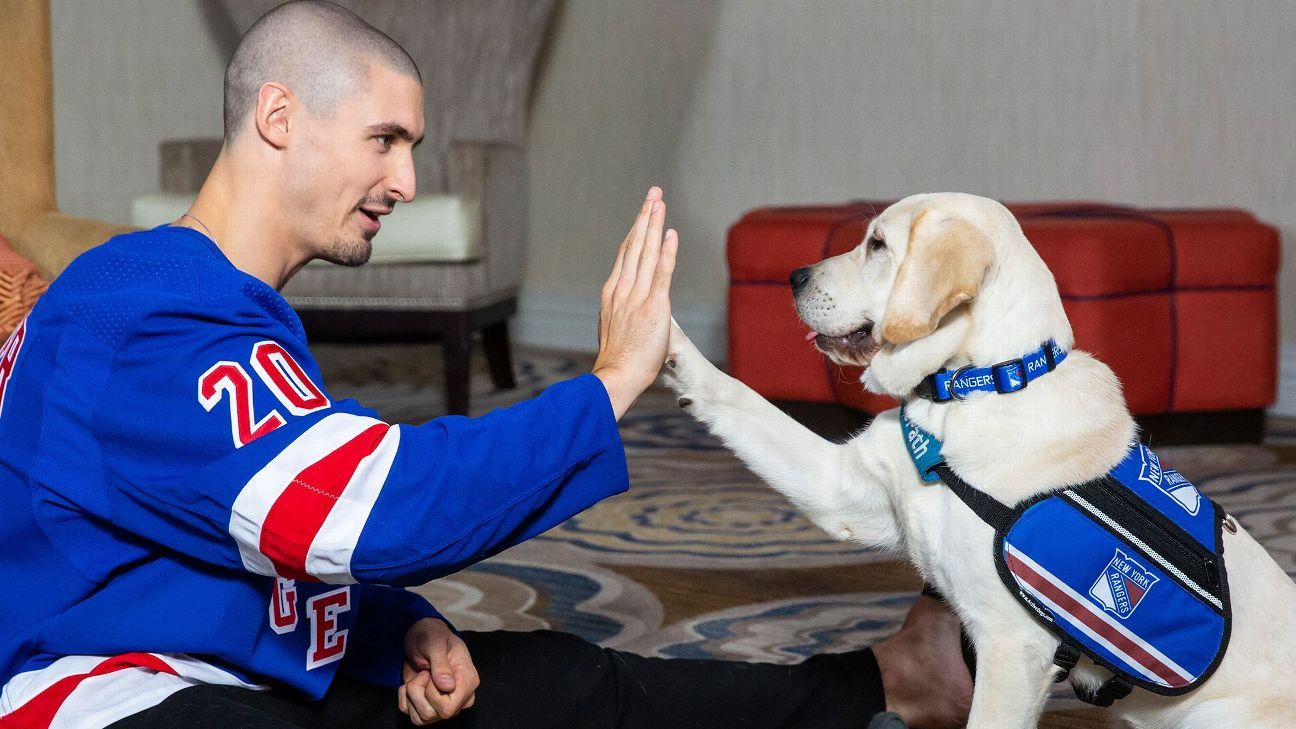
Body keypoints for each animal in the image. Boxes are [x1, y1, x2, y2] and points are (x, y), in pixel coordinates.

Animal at [663, 193, 1296, 726]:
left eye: (877, 245)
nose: (793, 277)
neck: (973, 389)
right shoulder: (844, 489)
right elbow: (735, 395)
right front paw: (661, 335)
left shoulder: (1014, 649)